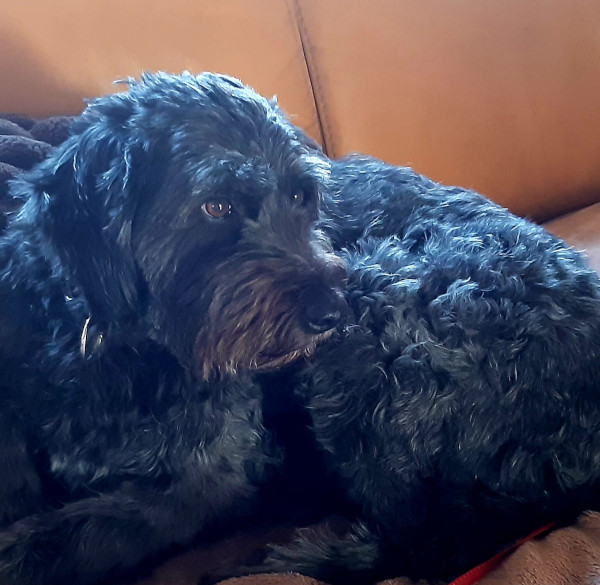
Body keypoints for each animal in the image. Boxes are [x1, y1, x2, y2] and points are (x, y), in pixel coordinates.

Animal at [0, 72, 346, 585]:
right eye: (217, 206)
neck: (121, 347)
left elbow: (89, 530)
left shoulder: (206, 479)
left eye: (301, 196)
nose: (332, 311)